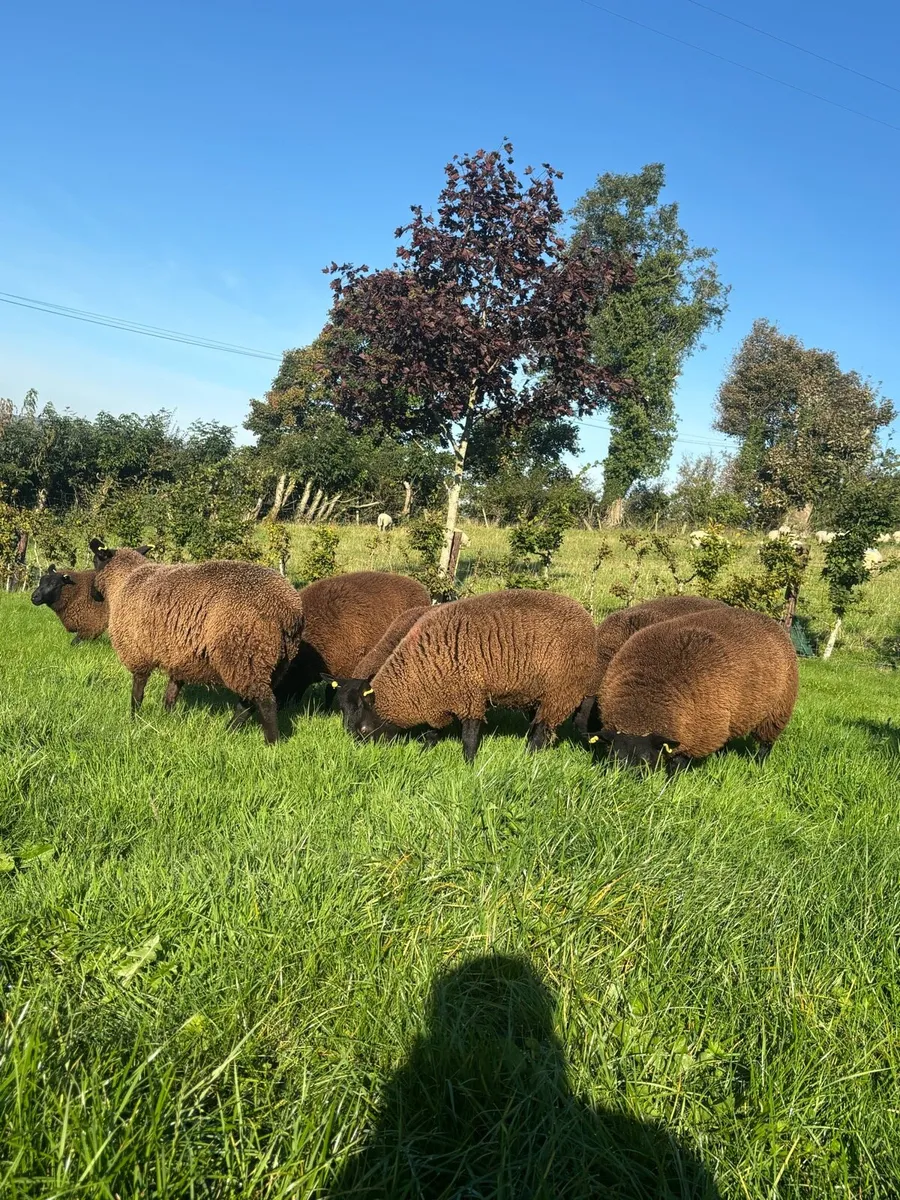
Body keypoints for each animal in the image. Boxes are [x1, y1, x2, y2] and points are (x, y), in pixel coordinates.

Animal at [88, 539, 304, 743]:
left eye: (96, 561)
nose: (93, 594)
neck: (124, 581)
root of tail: (288, 610)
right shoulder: (178, 656)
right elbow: (171, 693)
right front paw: (167, 717)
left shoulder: (136, 651)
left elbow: (137, 693)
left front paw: (134, 719)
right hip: (273, 660)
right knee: (248, 703)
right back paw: (228, 732)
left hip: (244, 652)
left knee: (265, 702)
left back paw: (272, 744)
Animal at [331, 589, 598, 763]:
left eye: (364, 729)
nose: (360, 755)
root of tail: (586, 619)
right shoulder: (439, 700)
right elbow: (433, 731)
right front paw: (424, 753)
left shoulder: (470, 696)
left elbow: (469, 735)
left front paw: (468, 765)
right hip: (542, 694)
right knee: (540, 726)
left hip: (561, 691)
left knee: (543, 729)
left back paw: (527, 758)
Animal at [591, 605, 798, 773]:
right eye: (612, 755)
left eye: (647, 758)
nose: (624, 783)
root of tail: (770, 621)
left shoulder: (701, 733)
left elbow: (678, 764)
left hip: (778, 710)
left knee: (766, 744)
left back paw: (759, 766)